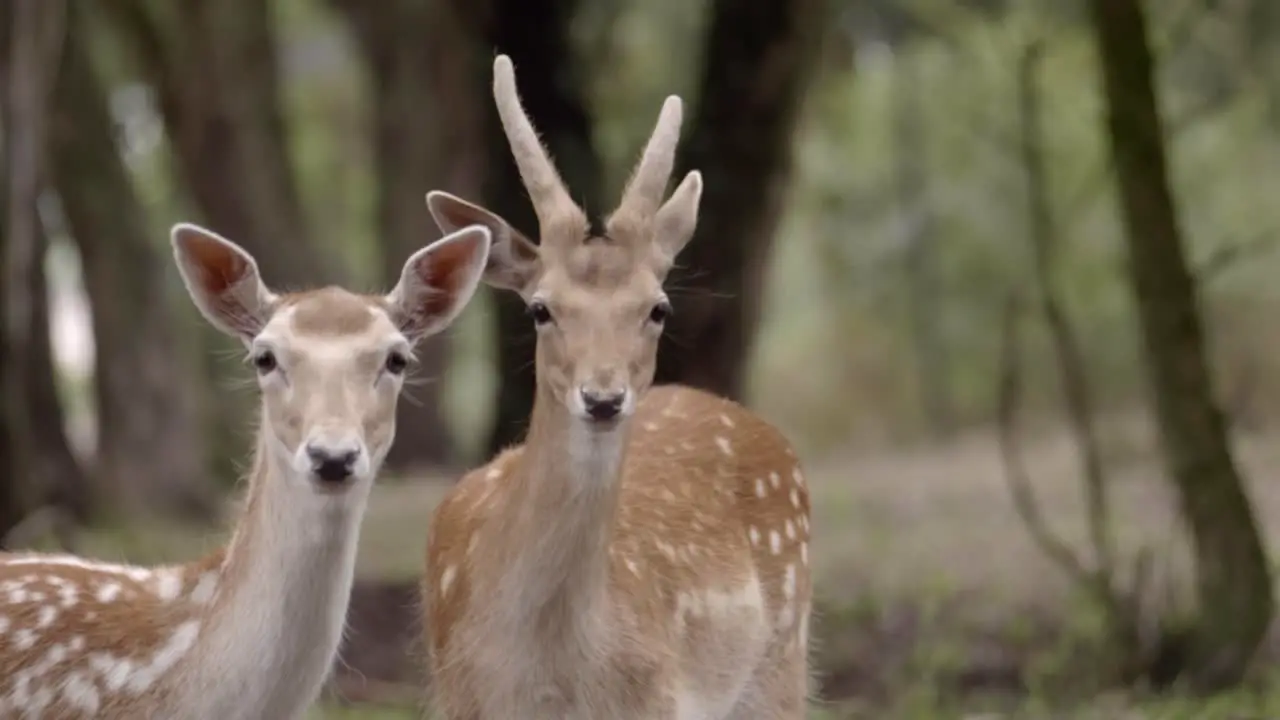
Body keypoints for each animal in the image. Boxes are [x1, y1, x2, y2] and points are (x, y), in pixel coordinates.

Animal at [424, 56, 814, 717]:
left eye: (658, 308)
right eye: (540, 308)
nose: (603, 398)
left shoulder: (658, 698)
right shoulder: (453, 697)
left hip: (784, 660)